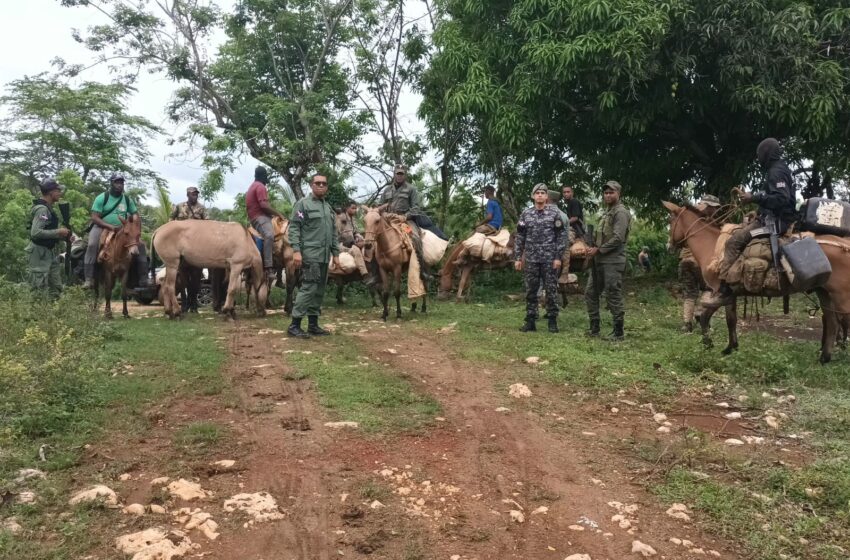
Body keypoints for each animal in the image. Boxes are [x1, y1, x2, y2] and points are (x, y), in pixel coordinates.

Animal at [664, 201, 850, 364]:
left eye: (671, 221)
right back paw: (824, 358)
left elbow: (704, 317)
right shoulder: (730, 294)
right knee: (832, 322)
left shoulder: (719, 290)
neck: (713, 246)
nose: (668, 246)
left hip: (841, 296)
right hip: (824, 292)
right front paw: (730, 347)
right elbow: (730, 320)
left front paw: (708, 344)